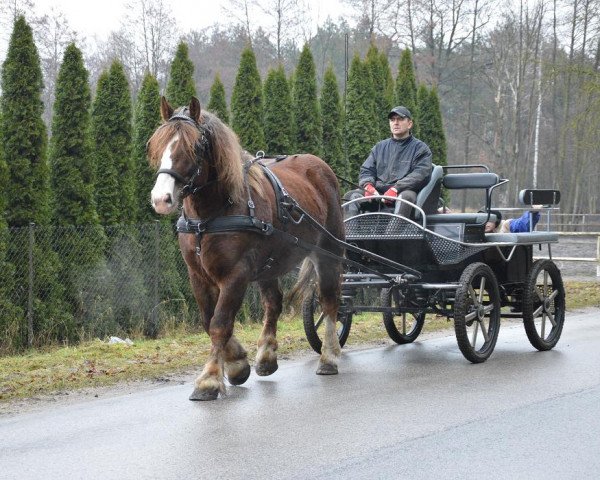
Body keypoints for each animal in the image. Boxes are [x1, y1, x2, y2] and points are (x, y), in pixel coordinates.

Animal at [148, 97, 344, 402]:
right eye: (157, 144)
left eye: (194, 147)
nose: (161, 199)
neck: (209, 217)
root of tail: (320, 167)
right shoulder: (198, 275)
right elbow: (208, 320)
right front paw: (237, 362)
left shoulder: (236, 275)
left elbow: (220, 323)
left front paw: (209, 379)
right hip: (269, 264)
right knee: (273, 303)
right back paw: (266, 356)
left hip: (328, 252)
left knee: (329, 300)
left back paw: (329, 357)